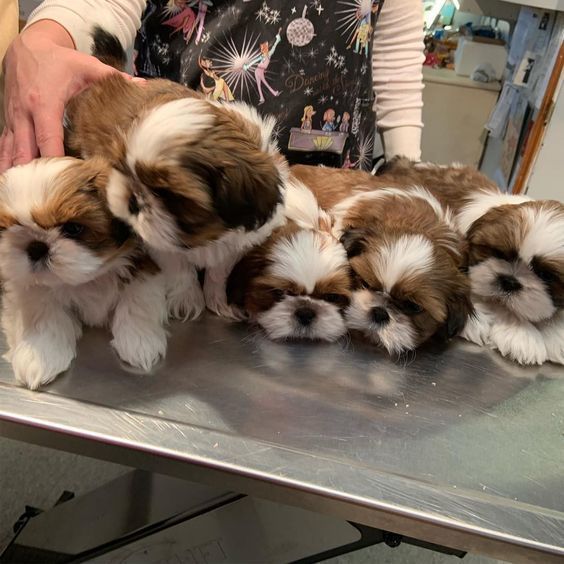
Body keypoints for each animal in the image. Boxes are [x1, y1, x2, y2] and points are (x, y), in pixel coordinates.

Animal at [0, 156, 169, 390]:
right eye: (10, 228)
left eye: (72, 228)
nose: (36, 246)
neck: (87, 279)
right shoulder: (29, 288)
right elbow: (43, 313)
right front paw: (41, 355)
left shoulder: (142, 267)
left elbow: (137, 302)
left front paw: (140, 341)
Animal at [374, 158, 564, 366]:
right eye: (499, 253)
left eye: (545, 274)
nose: (509, 281)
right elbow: (496, 303)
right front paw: (521, 334)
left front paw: (556, 333)